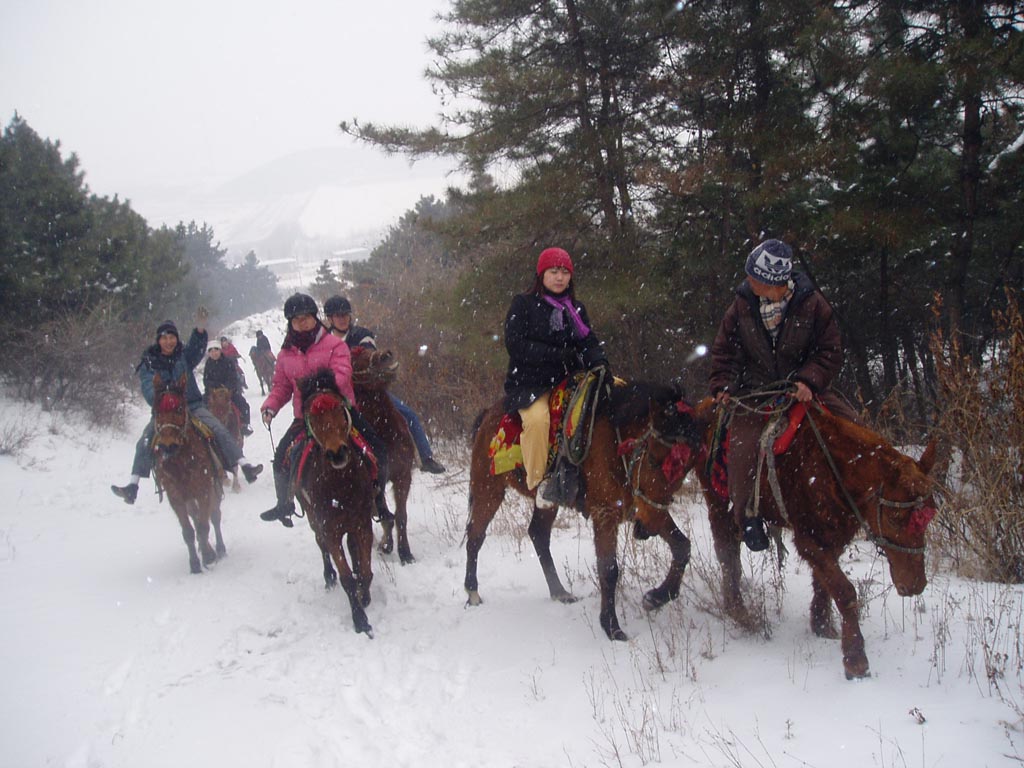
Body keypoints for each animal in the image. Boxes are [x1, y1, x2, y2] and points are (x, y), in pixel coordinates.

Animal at [149, 372, 226, 577]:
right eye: (156, 411)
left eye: (179, 408)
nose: (168, 445)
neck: (181, 460)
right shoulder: (175, 496)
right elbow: (189, 531)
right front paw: (195, 563)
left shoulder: (204, 489)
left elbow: (205, 524)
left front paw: (208, 556)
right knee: (197, 517)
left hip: (213, 490)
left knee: (214, 516)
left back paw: (219, 549)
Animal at [294, 370, 378, 634]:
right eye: (312, 416)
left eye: (341, 409)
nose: (337, 452)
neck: (341, 487)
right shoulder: (330, 529)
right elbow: (347, 578)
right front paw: (360, 619)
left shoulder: (361, 523)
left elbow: (365, 569)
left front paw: (365, 595)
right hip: (314, 520)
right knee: (321, 545)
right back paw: (328, 576)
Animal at [352, 352, 415, 561]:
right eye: (353, 362)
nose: (386, 355)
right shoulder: (374, 484)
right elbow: (386, 517)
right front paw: (387, 545)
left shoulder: (403, 475)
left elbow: (401, 516)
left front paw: (405, 553)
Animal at [466, 382, 700, 643]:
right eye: (652, 459)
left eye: (686, 468)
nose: (645, 529)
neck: (615, 441)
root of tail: (487, 415)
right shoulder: (606, 513)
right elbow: (609, 569)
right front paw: (612, 627)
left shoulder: (649, 509)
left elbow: (682, 546)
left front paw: (657, 597)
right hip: (488, 489)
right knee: (475, 536)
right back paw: (473, 593)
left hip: (546, 503)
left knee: (538, 534)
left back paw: (559, 592)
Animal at [692, 397, 937, 679]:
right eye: (895, 517)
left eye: (930, 515)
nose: (915, 585)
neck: (835, 472)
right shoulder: (808, 540)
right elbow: (844, 591)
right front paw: (855, 659)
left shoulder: (835, 536)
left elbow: (824, 583)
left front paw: (822, 625)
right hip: (716, 498)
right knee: (725, 545)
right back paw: (737, 609)